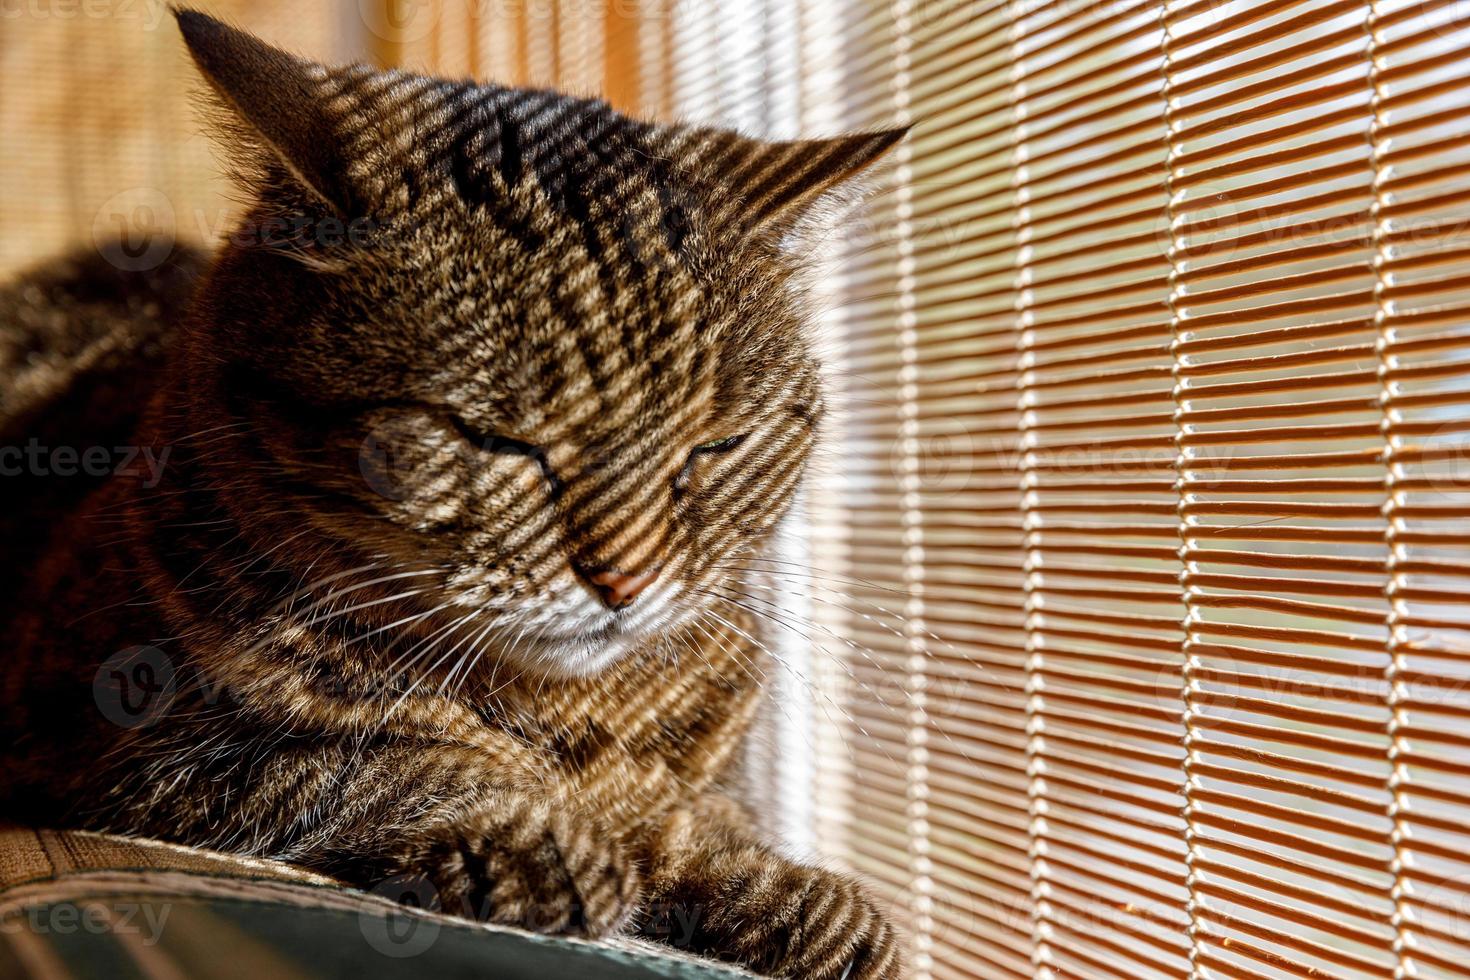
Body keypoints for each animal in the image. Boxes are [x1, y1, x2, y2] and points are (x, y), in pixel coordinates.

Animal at [0, 9, 905, 980]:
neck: (570, 715)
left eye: (716, 445)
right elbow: (380, 762)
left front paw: (785, 889)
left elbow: (699, 814)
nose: (625, 580)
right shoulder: (115, 727)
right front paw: (534, 829)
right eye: (497, 439)